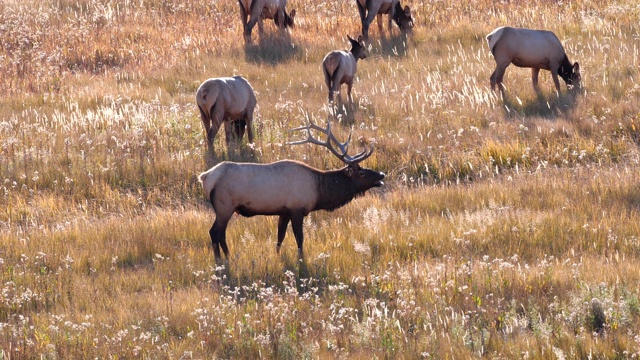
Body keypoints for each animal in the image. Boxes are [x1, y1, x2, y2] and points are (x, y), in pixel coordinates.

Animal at [198, 119, 384, 260]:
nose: (381, 175)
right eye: (361, 172)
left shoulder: (284, 211)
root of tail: (205, 176)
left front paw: (277, 255)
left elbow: (279, 237)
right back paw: (222, 258)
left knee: (220, 233)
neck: (319, 191)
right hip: (224, 206)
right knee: (215, 232)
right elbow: (299, 238)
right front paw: (301, 259)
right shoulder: (297, 209)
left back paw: (226, 256)